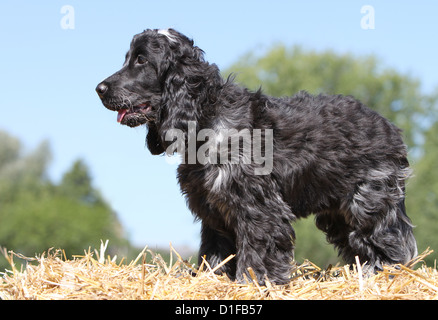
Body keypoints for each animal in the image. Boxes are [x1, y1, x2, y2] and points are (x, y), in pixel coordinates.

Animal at [96, 28, 418, 284]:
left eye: (142, 61)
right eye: (128, 58)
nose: (99, 88)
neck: (207, 118)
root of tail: (390, 128)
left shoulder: (259, 209)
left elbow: (256, 257)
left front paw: (251, 284)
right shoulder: (214, 213)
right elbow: (215, 255)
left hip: (367, 204)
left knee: (390, 244)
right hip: (338, 215)